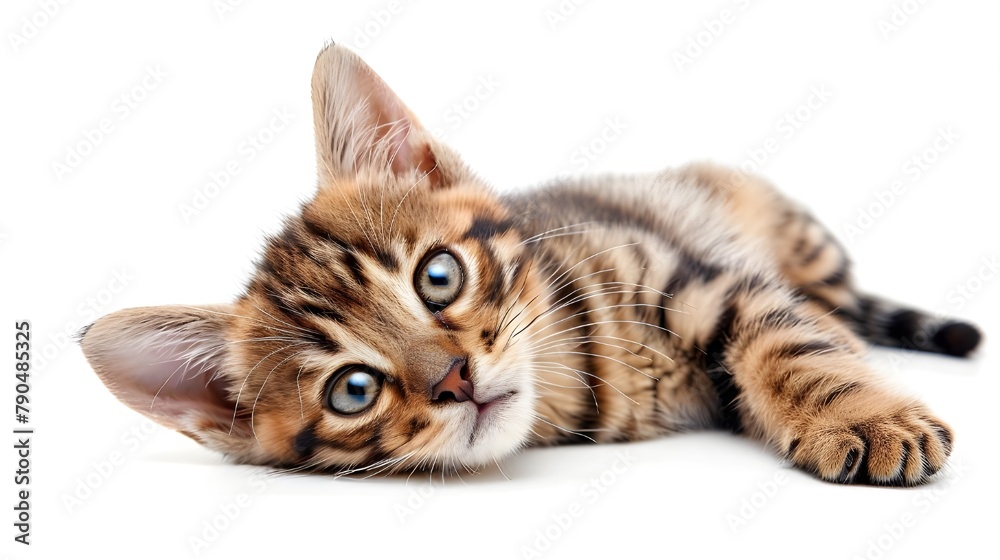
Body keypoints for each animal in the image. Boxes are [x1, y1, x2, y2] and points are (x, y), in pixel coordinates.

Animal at [82, 42, 980, 486]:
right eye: (353, 390)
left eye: (437, 276)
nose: (453, 378)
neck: (586, 371)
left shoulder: (708, 282)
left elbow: (794, 348)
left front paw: (861, 416)